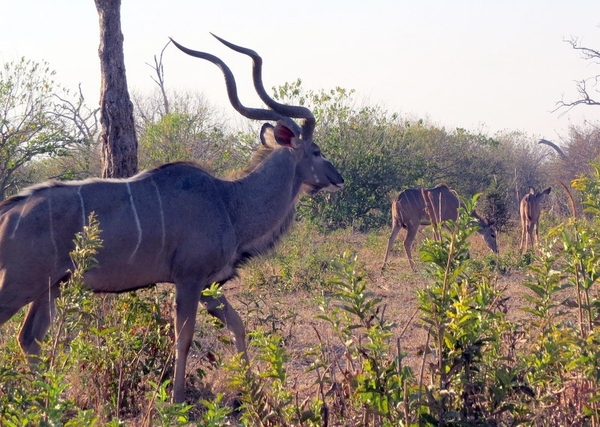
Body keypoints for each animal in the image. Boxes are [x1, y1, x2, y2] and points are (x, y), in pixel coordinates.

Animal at [0, 34, 342, 404]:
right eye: (317, 151)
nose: (338, 179)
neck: (229, 202)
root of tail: (8, 212)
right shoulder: (189, 279)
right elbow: (185, 337)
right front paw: (177, 399)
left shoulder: (208, 284)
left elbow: (237, 324)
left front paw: (252, 390)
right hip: (21, 282)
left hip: (52, 286)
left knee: (29, 338)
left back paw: (50, 401)